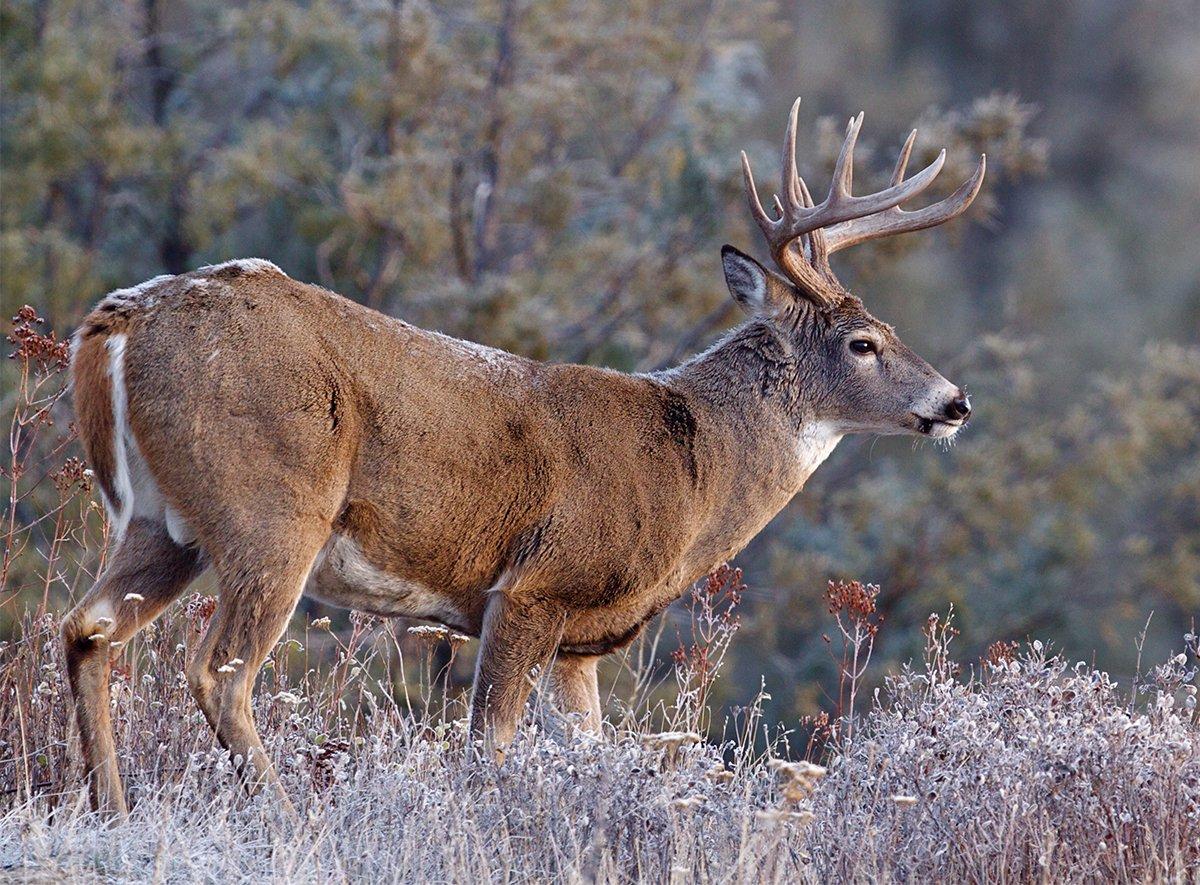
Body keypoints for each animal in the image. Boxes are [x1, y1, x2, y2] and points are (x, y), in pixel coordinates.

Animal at [65, 94, 979, 805]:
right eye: (863, 342)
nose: (954, 402)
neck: (693, 471)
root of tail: (118, 321)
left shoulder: (579, 642)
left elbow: (586, 749)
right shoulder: (534, 586)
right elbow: (488, 748)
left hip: (163, 521)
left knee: (88, 628)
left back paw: (113, 807)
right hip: (272, 507)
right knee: (220, 670)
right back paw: (293, 824)